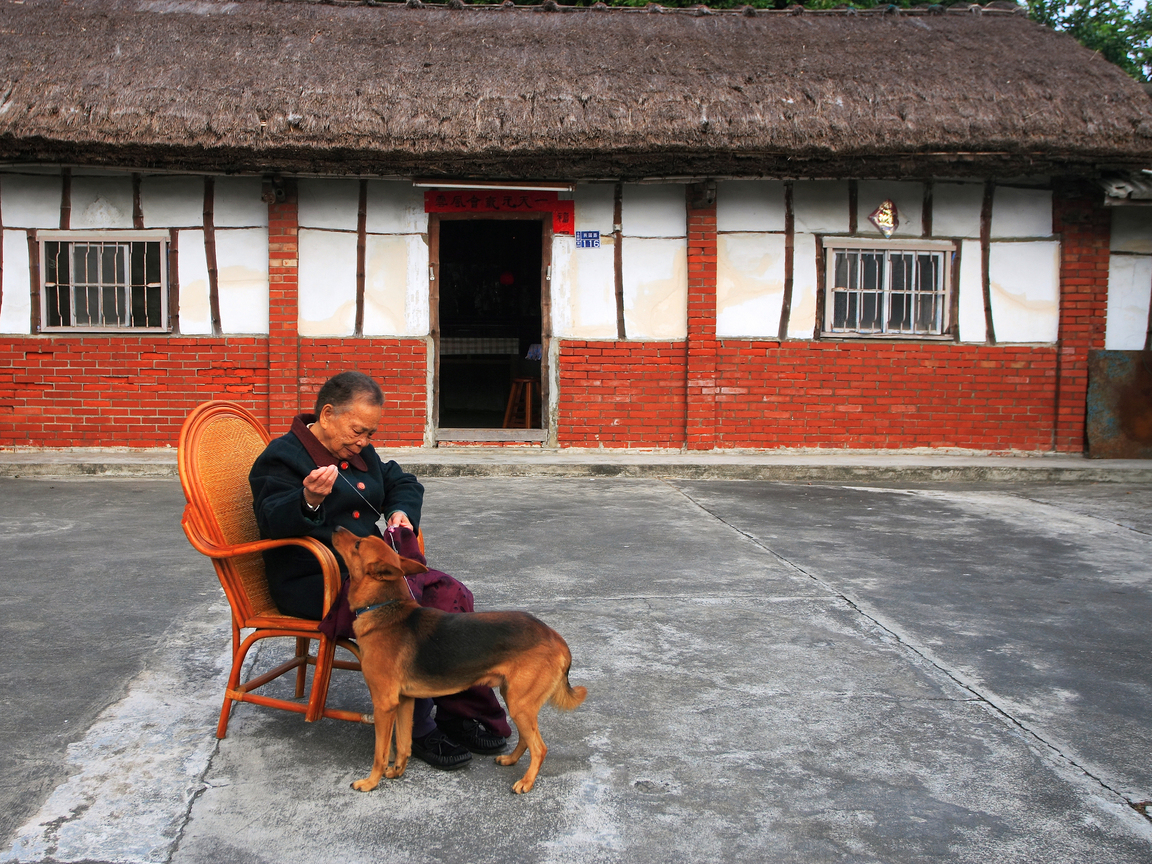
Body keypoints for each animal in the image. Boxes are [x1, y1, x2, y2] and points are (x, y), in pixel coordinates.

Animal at [331, 525, 585, 797]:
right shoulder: (404, 701)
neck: (383, 607)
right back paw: (511, 760)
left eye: (358, 544)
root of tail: (556, 637)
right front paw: (397, 771)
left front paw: (370, 782)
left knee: (540, 747)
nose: (336, 527)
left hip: (519, 704)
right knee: (528, 739)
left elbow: (380, 752)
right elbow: (403, 744)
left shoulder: (384, 704)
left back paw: (526, 782)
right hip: (514, 698)